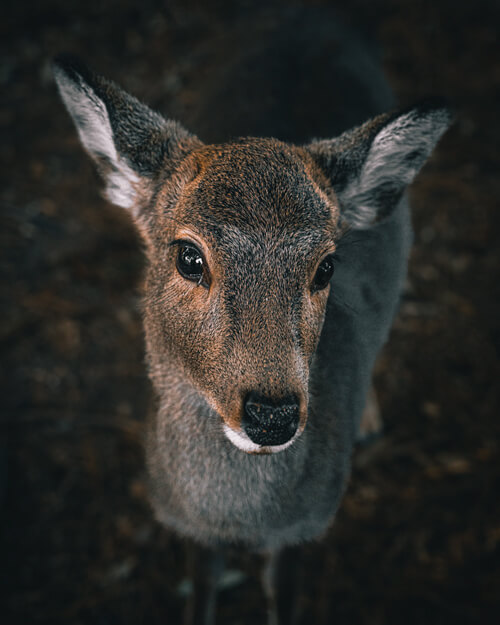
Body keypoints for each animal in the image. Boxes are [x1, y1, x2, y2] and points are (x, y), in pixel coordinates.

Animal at [52, 17, 452, 620]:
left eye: (327, 266)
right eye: (188, 257)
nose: (272, 415)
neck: (236, 519)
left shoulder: (303, 527)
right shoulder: (189, 528)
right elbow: (201, 593)